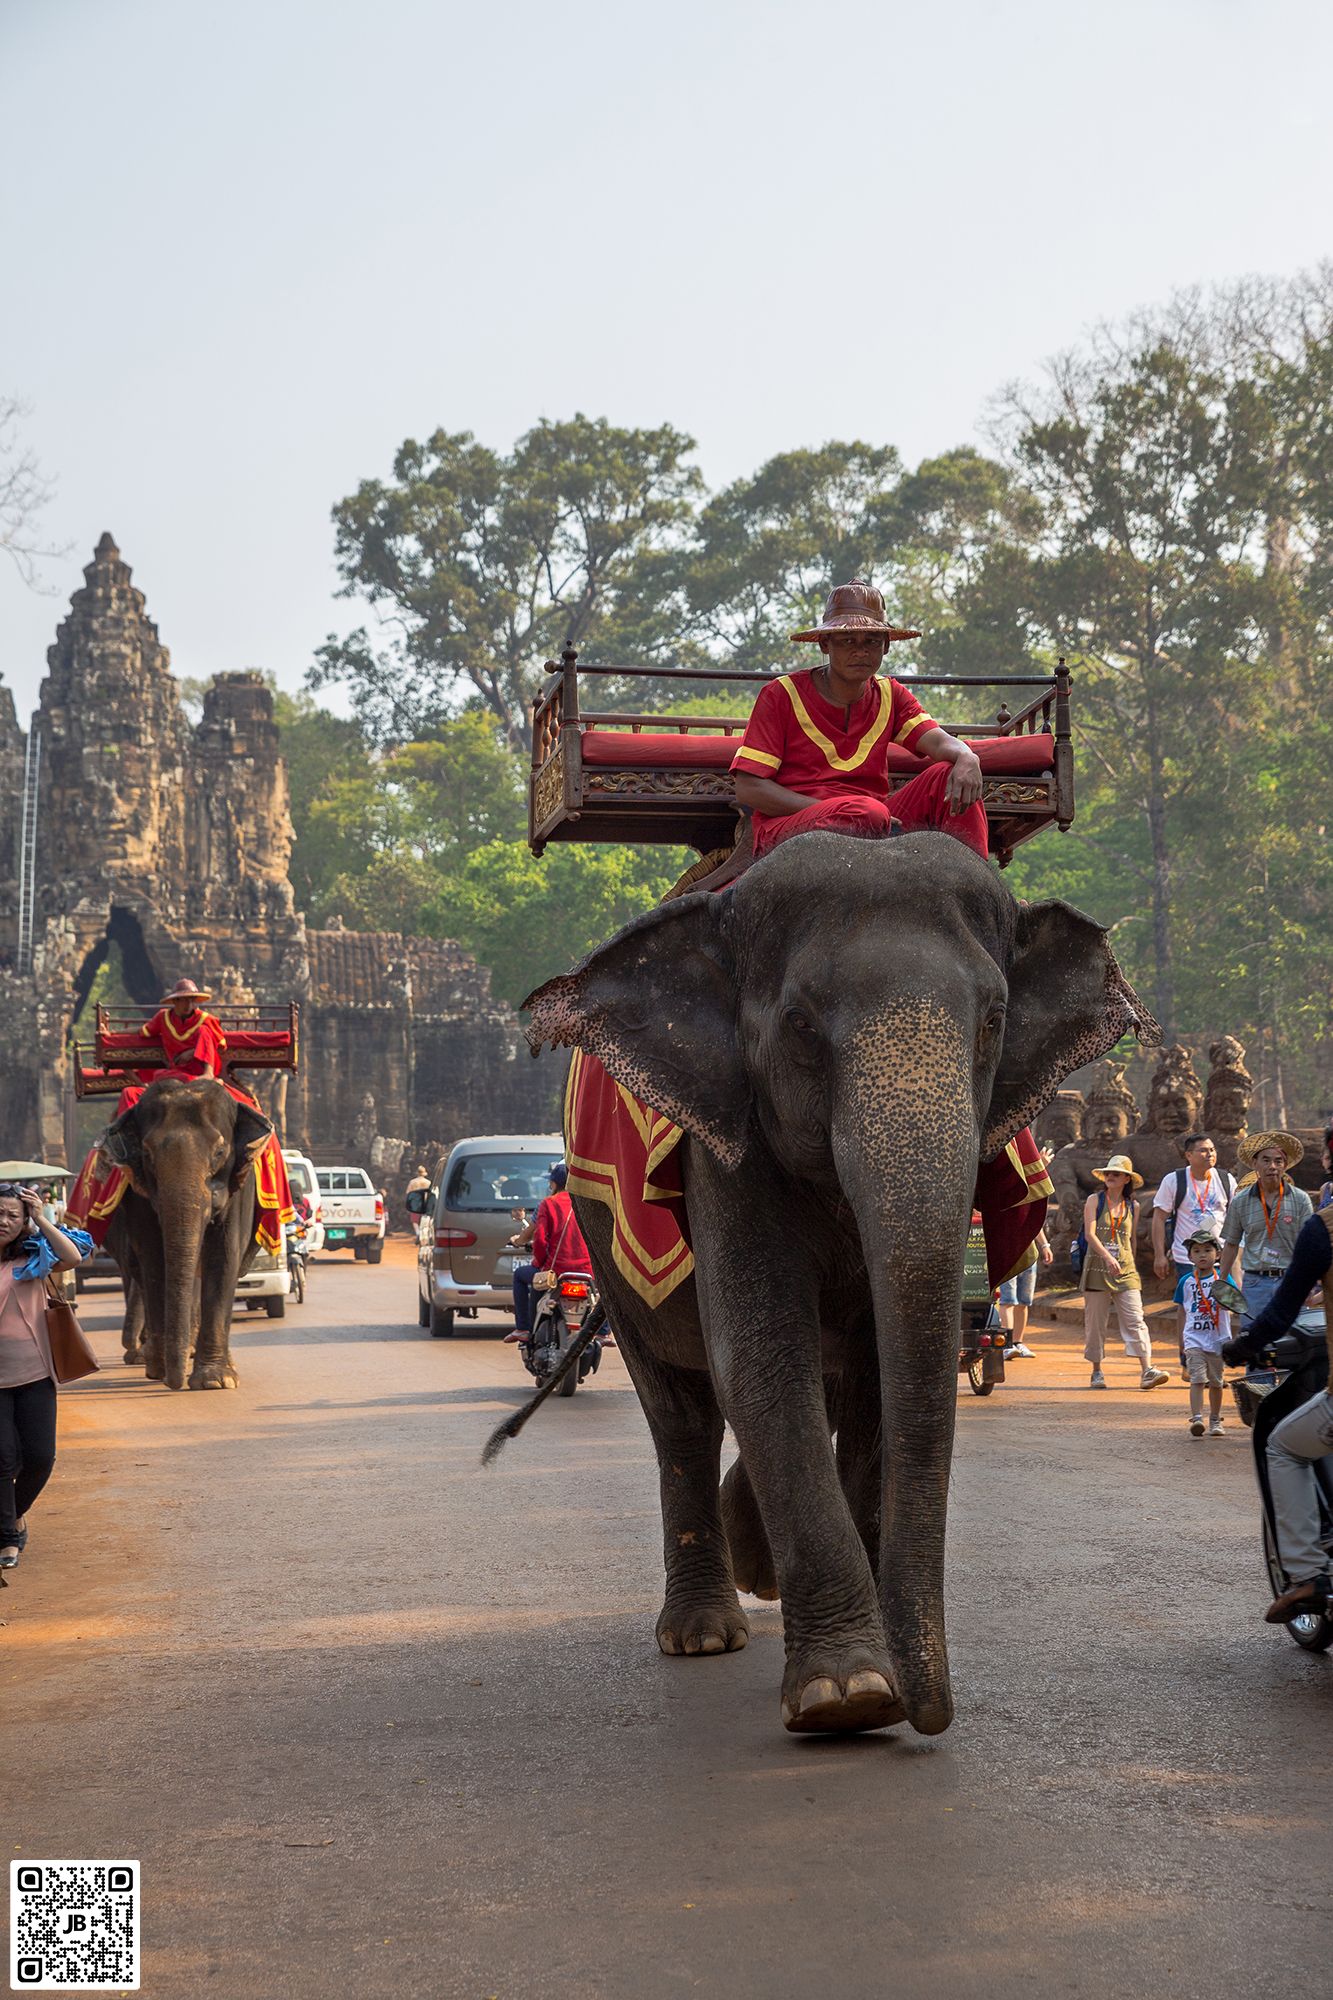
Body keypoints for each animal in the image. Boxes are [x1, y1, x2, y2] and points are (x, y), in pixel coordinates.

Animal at [102, 1080, 274, 1392]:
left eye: (219, 1152)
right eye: (147, 1154)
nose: (174, 1383)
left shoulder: (240, 1186)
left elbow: (225, 1254)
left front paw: (215, 1381)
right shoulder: (136, 1191)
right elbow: (152, 1256)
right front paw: (157, 1368)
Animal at [520, 828, 1152, 1736]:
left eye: (993, 1020)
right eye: (799, 1023)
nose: (932, 1715)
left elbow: (878, 1374)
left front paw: (872, 1679)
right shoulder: (723, 1145)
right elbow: (761, 1355)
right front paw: (849, 1696)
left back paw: (756, 1568)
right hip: (602, 1238)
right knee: (680, 1407)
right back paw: (702, 1632)